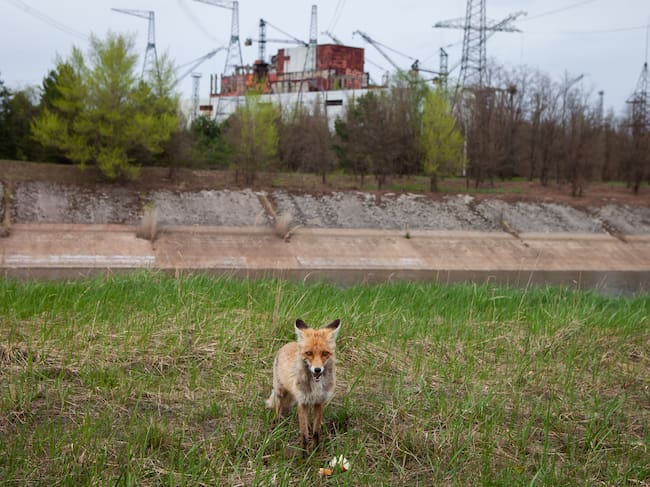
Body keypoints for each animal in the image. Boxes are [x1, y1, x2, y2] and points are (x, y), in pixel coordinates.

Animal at [266, 318, 341, 451]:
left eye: (325, 353)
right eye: (309, 353)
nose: (317, 370)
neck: (316, 386)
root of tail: (290, 343)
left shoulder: (319, 402)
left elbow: (316, 432)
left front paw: (316, 451)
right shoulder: (302, 402)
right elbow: (304, 436)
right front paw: (304, 454)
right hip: (280, 391)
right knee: (278, 408)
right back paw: (277, 424)